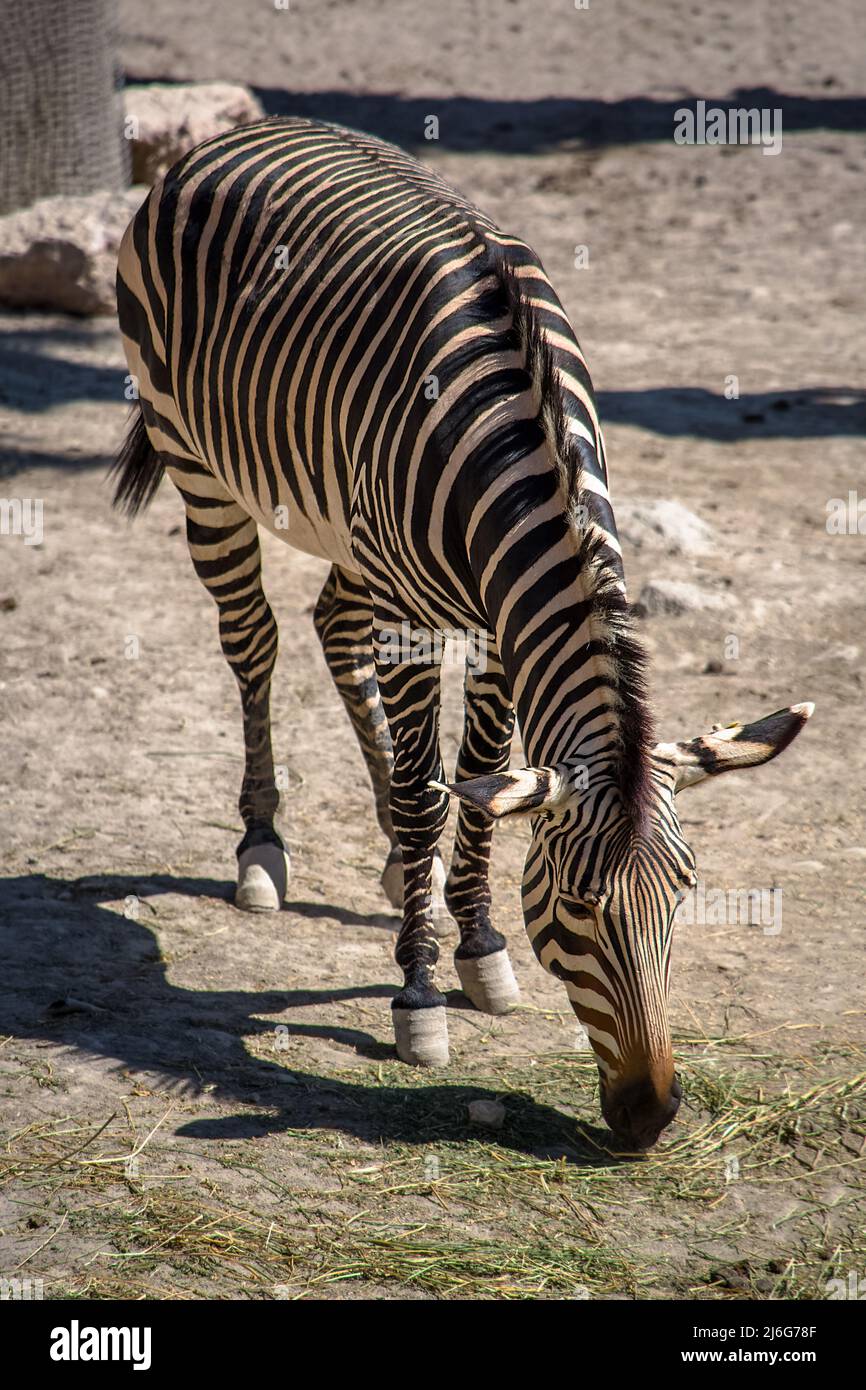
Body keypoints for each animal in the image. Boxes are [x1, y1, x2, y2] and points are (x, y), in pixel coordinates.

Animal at [113, 113, 811, 1145]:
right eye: (576, 907)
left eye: (683, 894)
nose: (651, 1117)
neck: (517, 437)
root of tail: (244, 130)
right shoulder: (419, 614)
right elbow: (427, 790)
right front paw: (419, 995)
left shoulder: (496, 625)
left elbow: (480, 778)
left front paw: (475, 941)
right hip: (199, 466)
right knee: (255, 644)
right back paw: (262, 848)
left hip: (349, 534)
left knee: (332, 627)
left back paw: (399, 866)